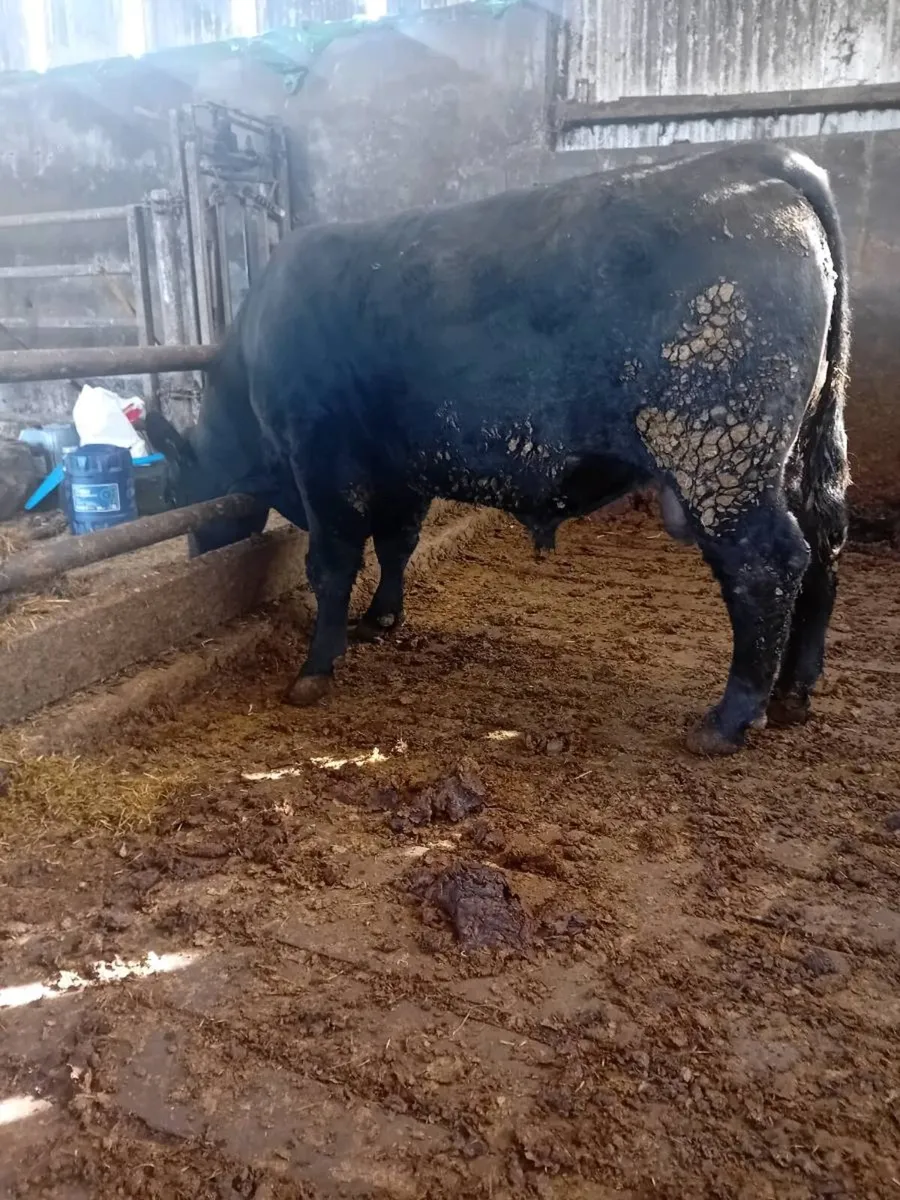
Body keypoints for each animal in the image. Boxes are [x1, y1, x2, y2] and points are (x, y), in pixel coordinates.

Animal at [147, 141, 850, 757]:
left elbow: (333, 562)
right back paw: (793, 694)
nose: (193, 552)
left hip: (719, 449)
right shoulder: (402, 469)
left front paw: (315, 670)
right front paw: (381, 620)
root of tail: (758, 159)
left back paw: (729, 719)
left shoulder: (321, 456)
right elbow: (397, 543)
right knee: (822, 544)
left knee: (767, 562)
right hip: (794, 454)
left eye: (175, 492)